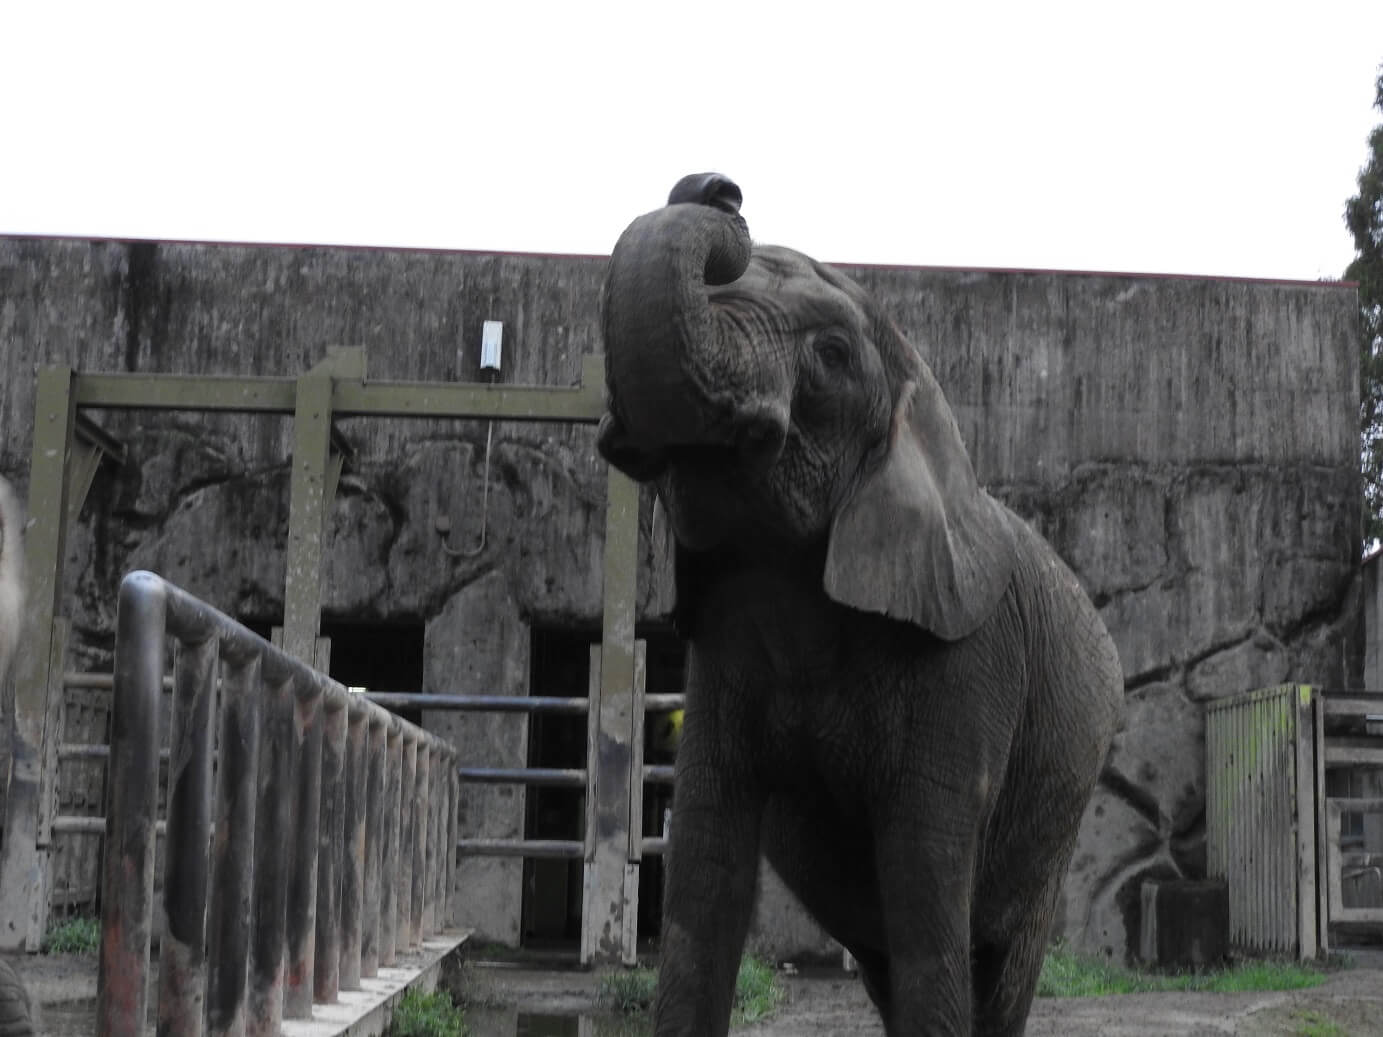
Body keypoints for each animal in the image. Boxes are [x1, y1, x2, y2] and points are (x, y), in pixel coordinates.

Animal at [594, 174, 1122, 1034]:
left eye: (833, 355)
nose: (718, 189)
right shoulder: (723, 647)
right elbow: (704, 869)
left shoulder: (968, 664)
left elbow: (923, 885)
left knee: (1001, 963)